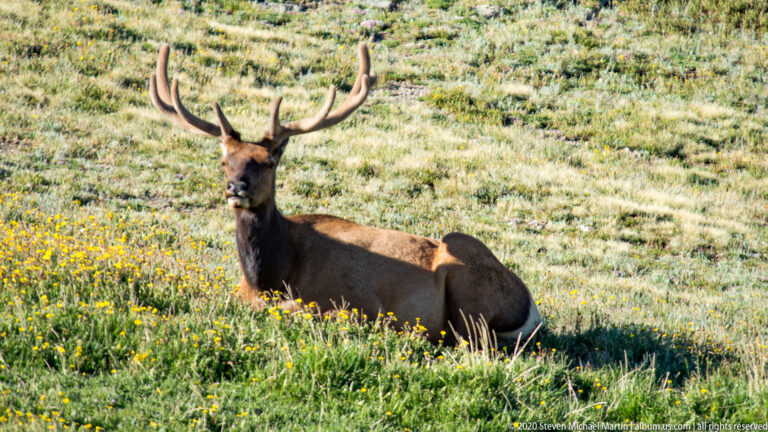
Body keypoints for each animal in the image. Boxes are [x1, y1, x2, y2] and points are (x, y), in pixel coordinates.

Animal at [149, 42, 543, 345]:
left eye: (268, 161)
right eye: (224, 161)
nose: (236, 187)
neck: (273, 275)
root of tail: (531, 310)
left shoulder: (358, 301)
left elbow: (303, 310)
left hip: (465, 276)